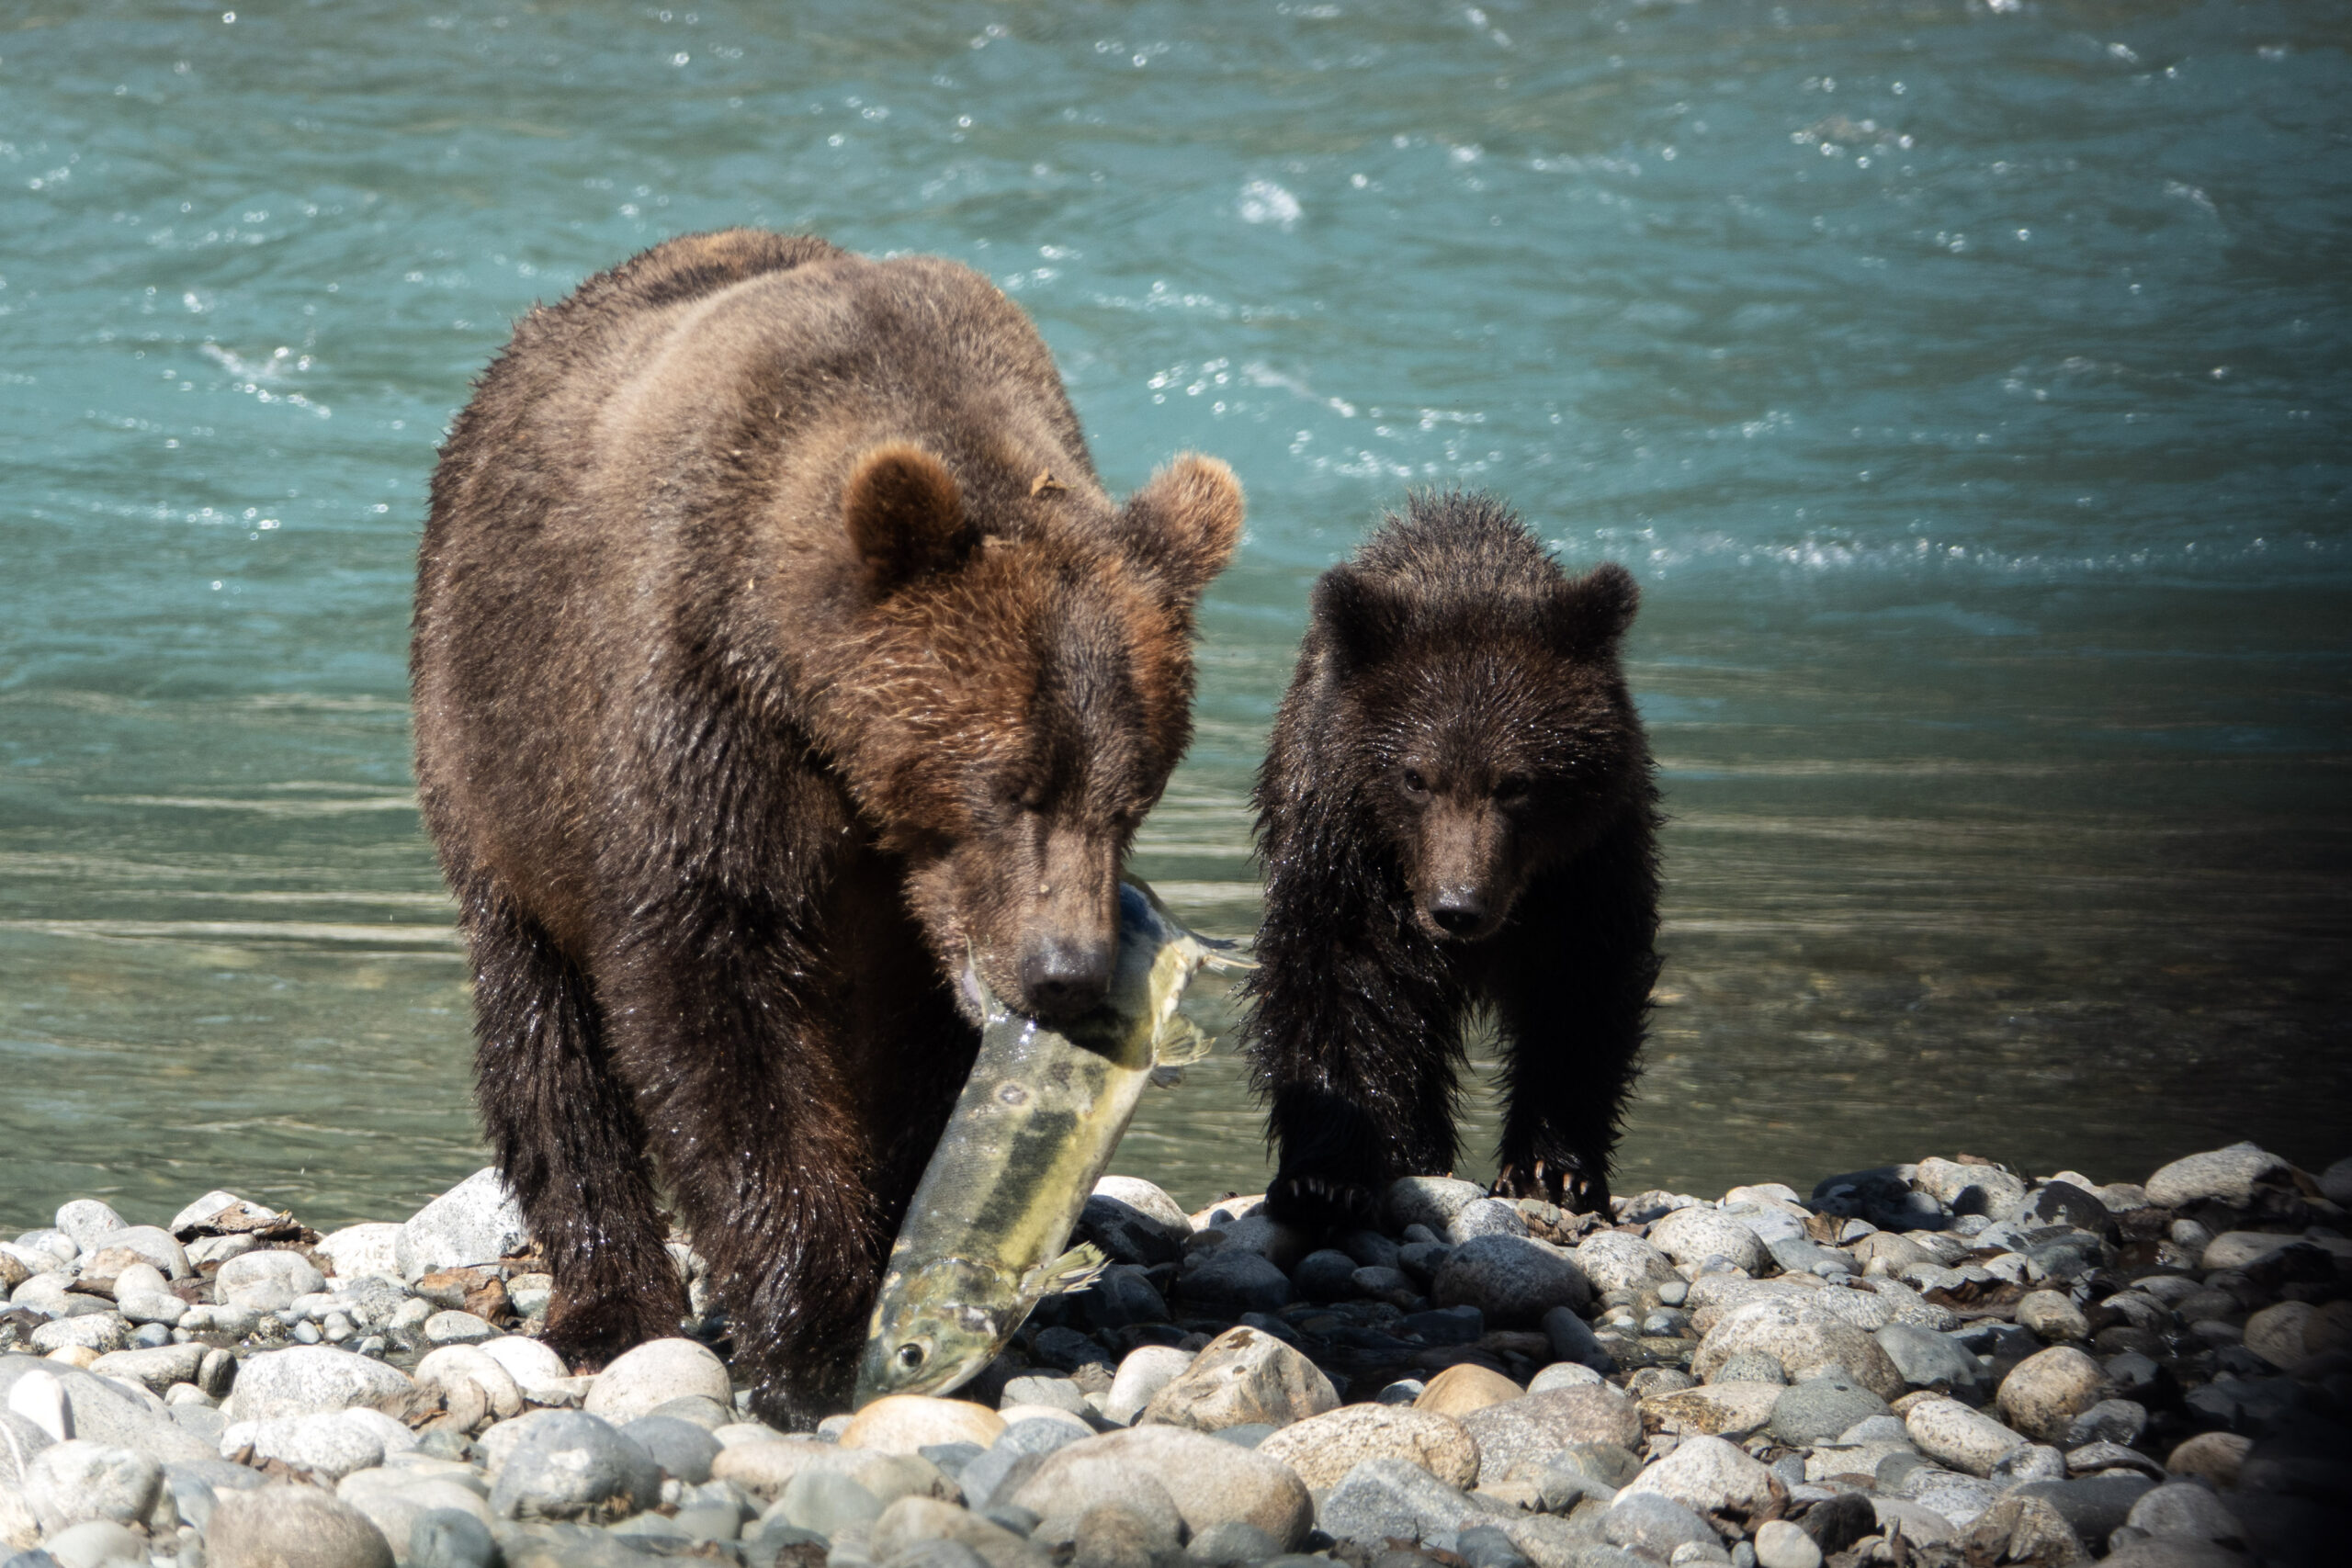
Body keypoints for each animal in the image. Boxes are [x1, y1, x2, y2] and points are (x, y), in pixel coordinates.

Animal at [410, 229, 1242, 1425]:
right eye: (1004, 786)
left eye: (1132, 795)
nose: (1066, 974)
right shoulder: (704, 720)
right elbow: (717, 1002)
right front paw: (810, 1337)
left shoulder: (911, 912)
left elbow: (915, 1053)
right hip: (494, 751)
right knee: (541, 1031)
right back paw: (609, 1304)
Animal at [1242, 490, 1658, 1227]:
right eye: (1415, 777)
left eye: (1516, 782)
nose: (1457, 908)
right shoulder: (1348, 851)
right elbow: (1339, 979)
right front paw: (1330, 1177)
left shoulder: (1587, 861)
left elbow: (1581, 985)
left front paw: (1553, 1169)